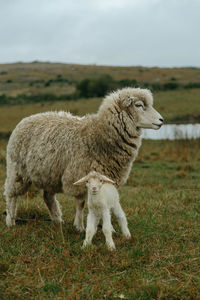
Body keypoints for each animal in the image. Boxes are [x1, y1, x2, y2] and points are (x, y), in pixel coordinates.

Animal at [4, 88, 164, 229]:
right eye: (139, 105)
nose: (161, 120)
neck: (98, 135)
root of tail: (26, 119)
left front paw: (106, 226)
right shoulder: (79, 174)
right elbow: (80, 203)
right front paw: (79, 226)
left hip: (50, 173)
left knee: (48, 196)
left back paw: (57, 220)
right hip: (17, 169)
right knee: (11, 194)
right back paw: (10, 221)